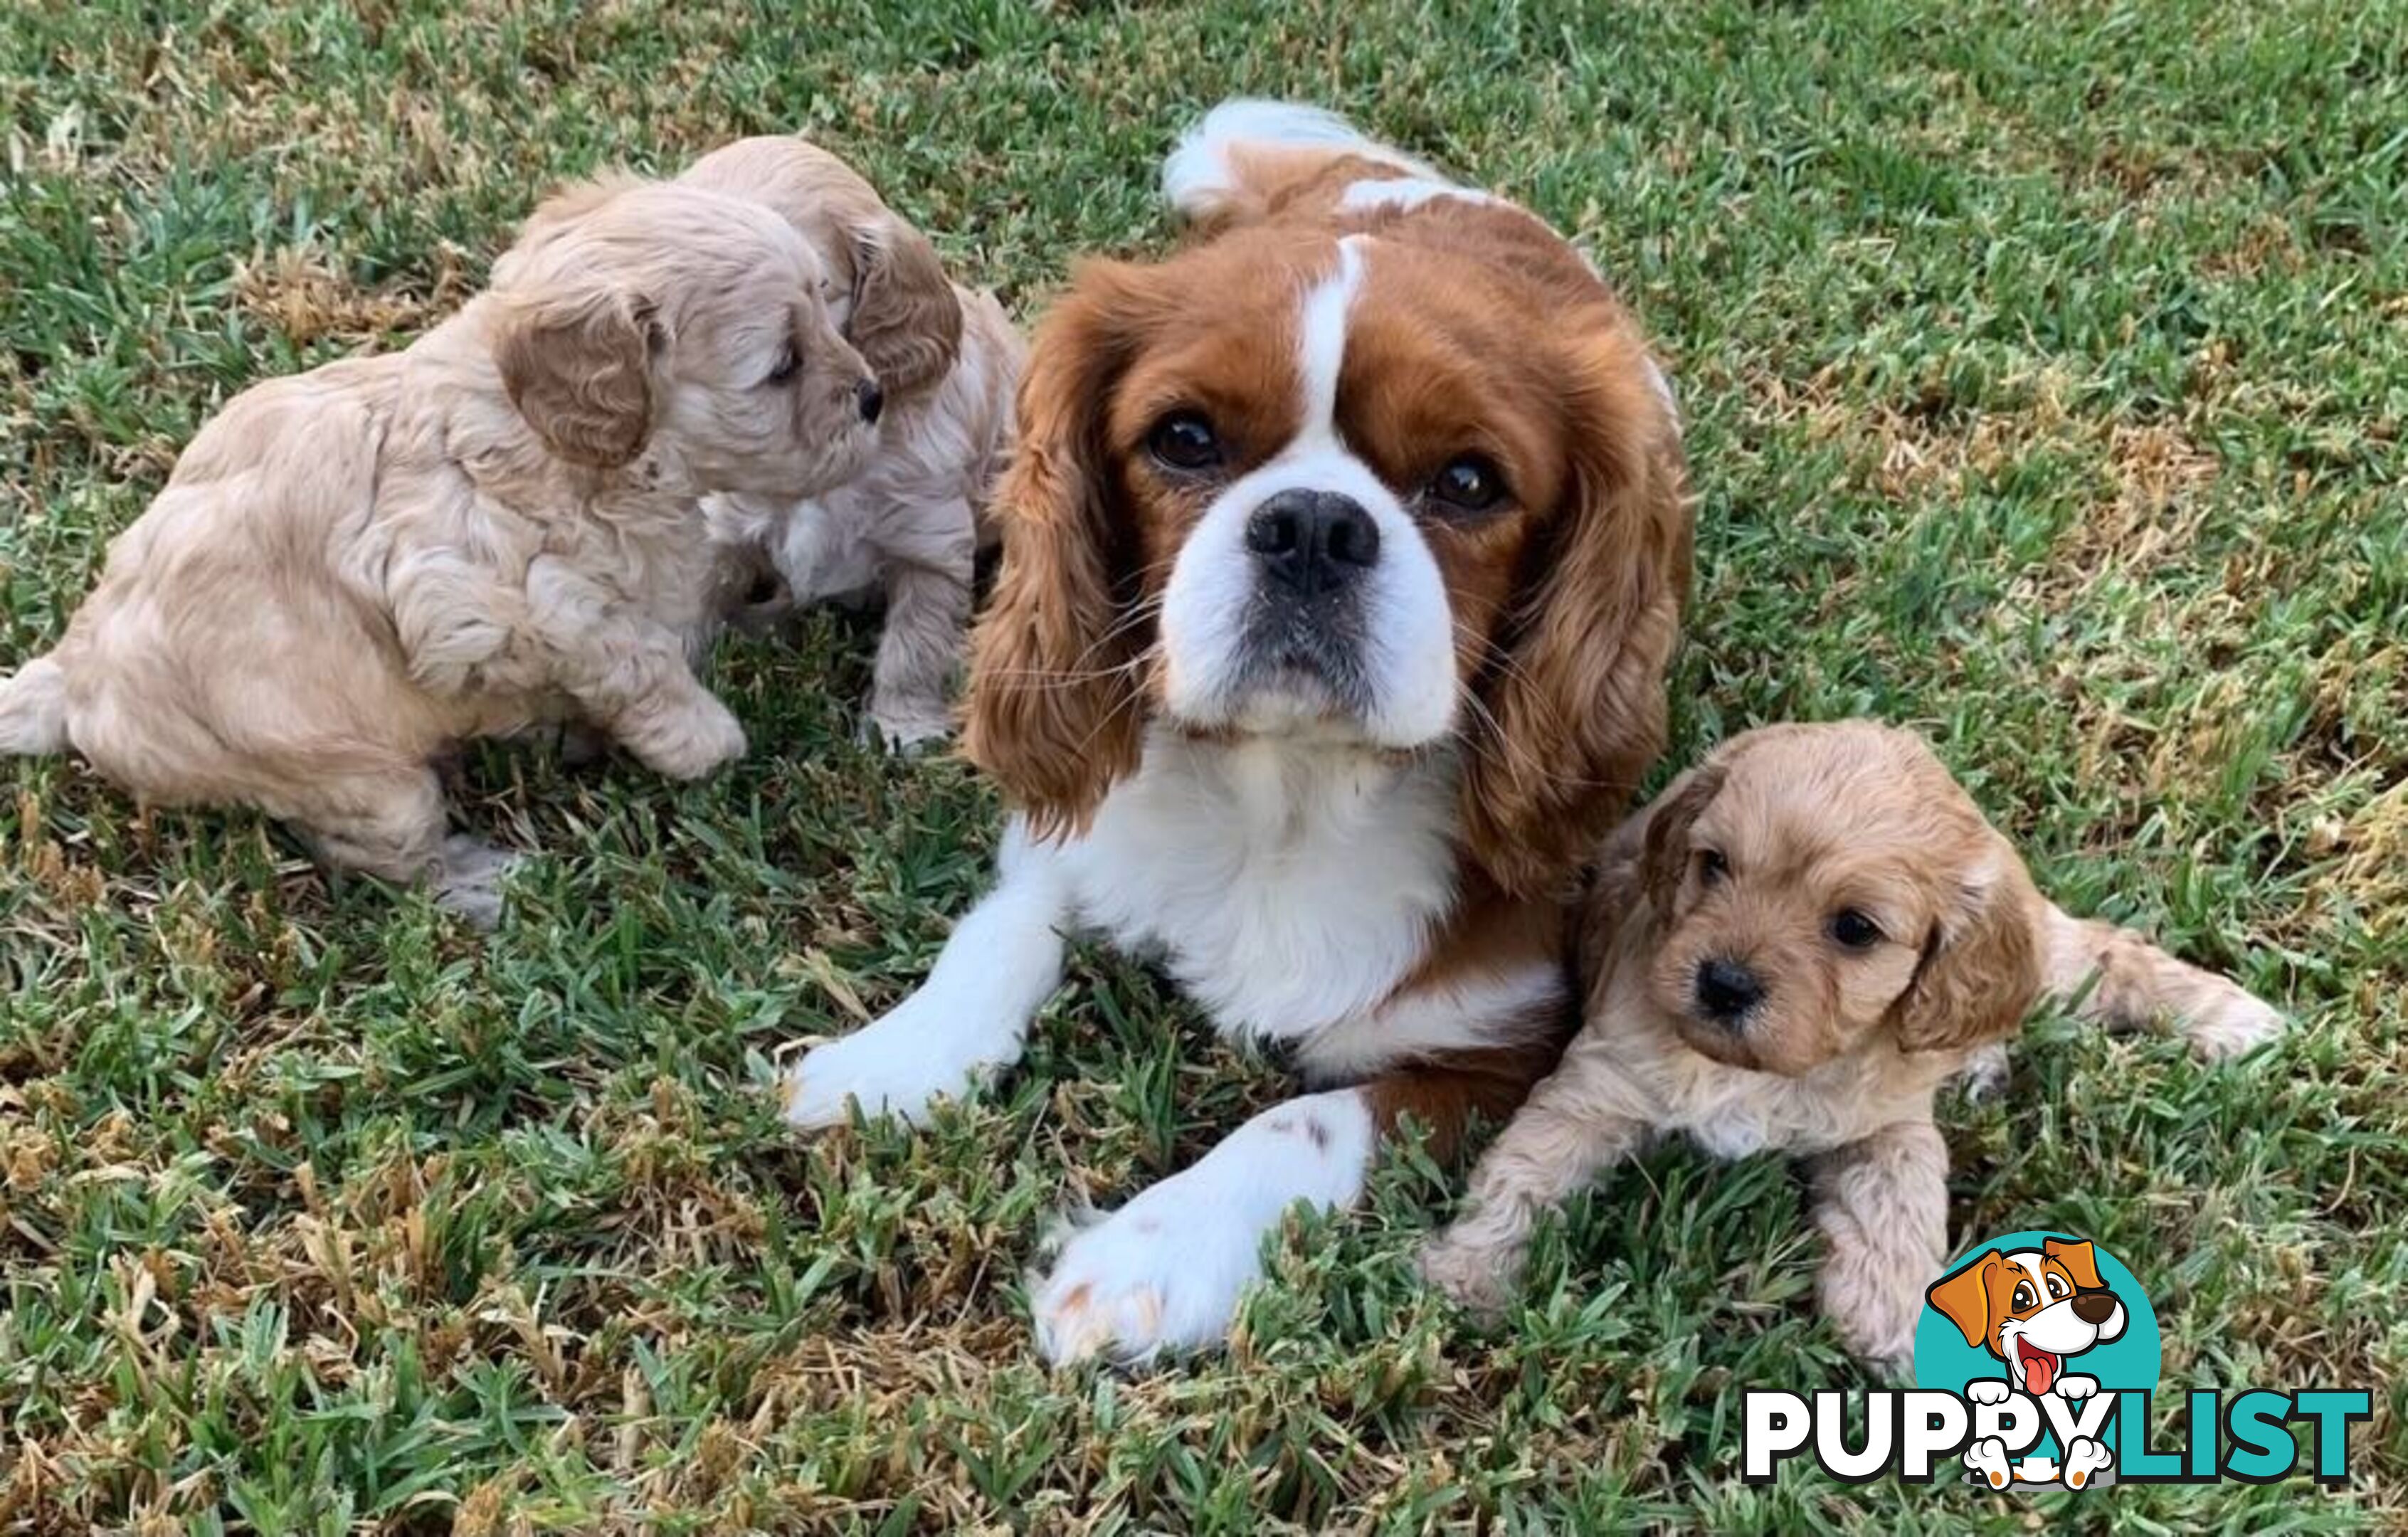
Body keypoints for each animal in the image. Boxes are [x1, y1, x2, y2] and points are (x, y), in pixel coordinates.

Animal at [0, 180, 886, 925]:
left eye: (827, 305)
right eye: (782, 366)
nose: (875, 396)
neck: (539, 433)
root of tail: (77, 678)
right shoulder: (476, 602)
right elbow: (626, 651)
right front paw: (703, 738)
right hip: (349, 777)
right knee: (382, 853)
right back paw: (478, 881)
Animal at [780, 102, 1685, 1368]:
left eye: (1469, 481)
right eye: (1185, 439)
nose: (1312, 526)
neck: (1288, 790)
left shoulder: (1506, 1045)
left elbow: (1304, 1123)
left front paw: (1148, 1257)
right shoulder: (1075, 838)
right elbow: (1005, 929)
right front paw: (897, 1061)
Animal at [1415, 727, 2283, 1378]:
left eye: (1855, 929)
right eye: (1714, 865)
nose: (1723, 983)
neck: (1759, 1072)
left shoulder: (1887, 1131)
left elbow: (1898, 1219)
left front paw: (1901, 1337)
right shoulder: (1601, 1084)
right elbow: (1527, 1173)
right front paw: (1467, 1274)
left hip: (2041, 962)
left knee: (2105, 955)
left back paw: (2236, 1020)